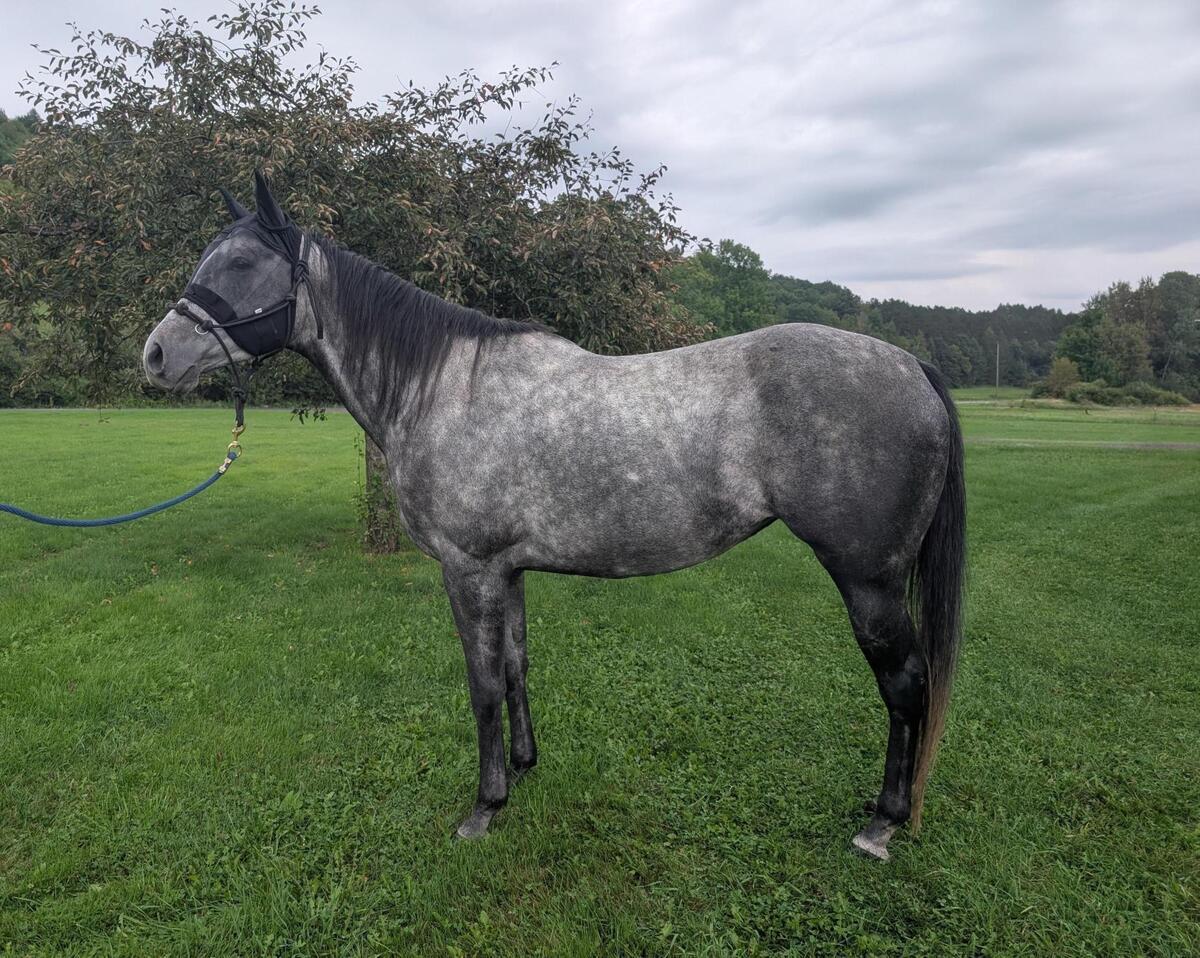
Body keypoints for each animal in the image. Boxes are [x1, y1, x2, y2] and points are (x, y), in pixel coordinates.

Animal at [143, 173, 965, 861]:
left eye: (240, 264)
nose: (154, 355)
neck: (443, 386)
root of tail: (909, 366)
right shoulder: (506, 571)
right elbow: (514, 667)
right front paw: (524, 769)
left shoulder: (468, 570)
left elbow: (480, 684)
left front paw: (484, 806)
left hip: (869, 581)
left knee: (905, 686)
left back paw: (882, 824)